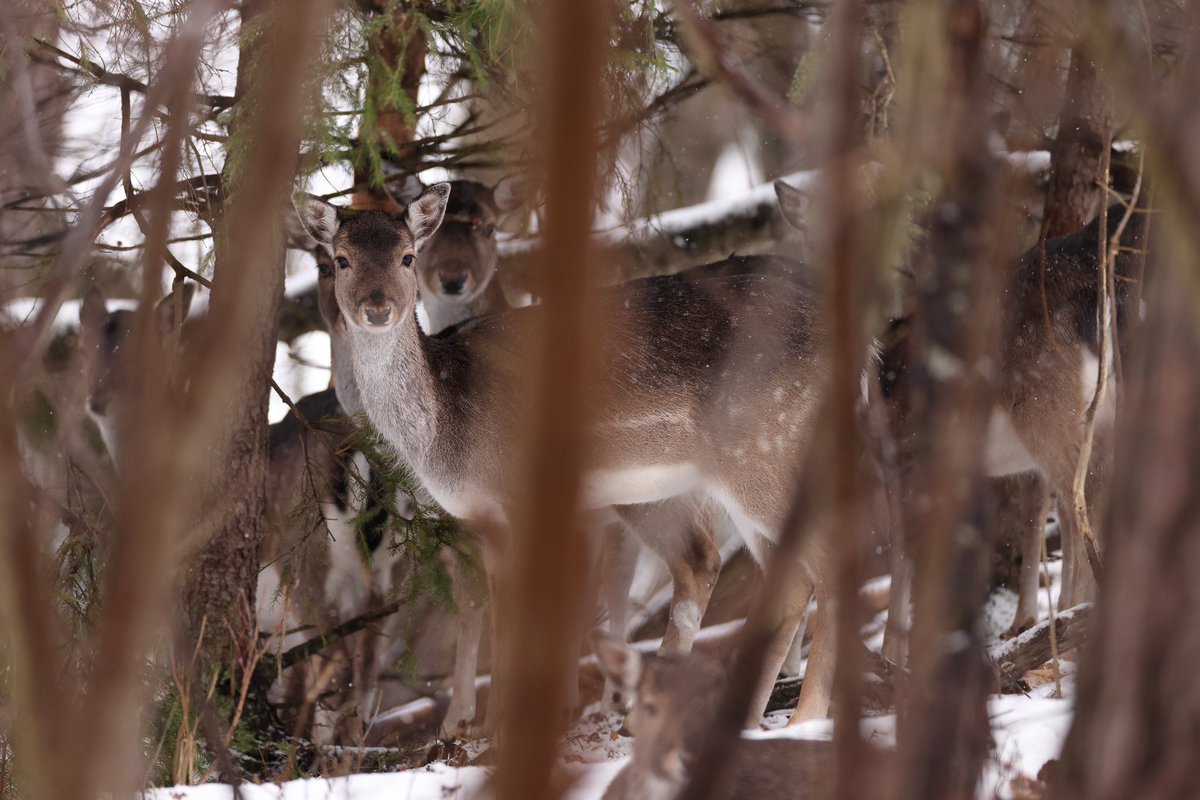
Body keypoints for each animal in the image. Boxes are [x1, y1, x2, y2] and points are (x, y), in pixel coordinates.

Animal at [293, 182, 849, 732]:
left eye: (407, 256)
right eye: (340, 259)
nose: (377, 308)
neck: (444, 432)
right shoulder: (485, 518)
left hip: (764, 452)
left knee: (824, 566)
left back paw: (804, 718)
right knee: (778, 573)